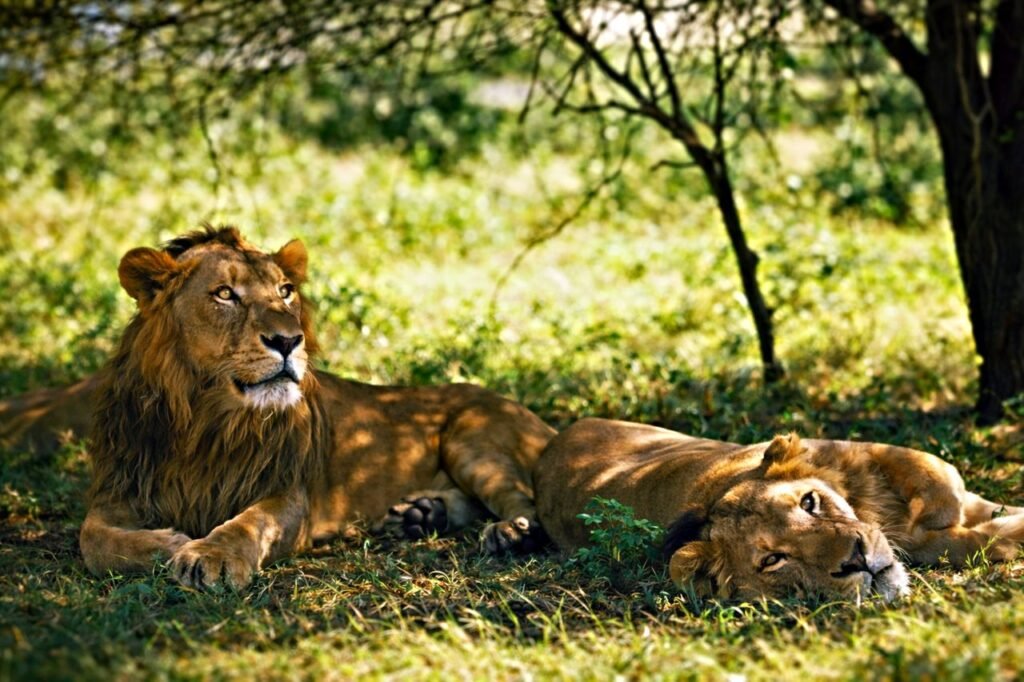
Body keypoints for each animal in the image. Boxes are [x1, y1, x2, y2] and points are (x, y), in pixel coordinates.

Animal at [1, 226, 556, 589]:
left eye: (285, 291)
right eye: (225, 294)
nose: (289, 340)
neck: (204, 420)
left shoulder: (288, 493)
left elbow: (249, 523)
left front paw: (209, 554)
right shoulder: (119, 488)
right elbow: (93, 539)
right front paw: (169, 544)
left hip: (473, 435)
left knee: (528, 502)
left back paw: (508, 533)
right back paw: (420, 514)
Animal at [534, 418, 1024, 602]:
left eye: (809, 503)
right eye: (774, 560)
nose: (858, 561)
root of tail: (554, 442)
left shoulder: (856, 452)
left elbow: (928, 470)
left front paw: (947, 501)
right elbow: (967, 541)